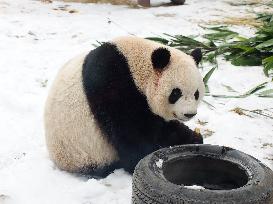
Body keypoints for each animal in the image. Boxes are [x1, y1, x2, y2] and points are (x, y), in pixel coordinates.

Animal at [45, 35, 204, 178]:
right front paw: (143, 157)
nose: (189, 114)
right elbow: (129, 132)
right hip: (81, 153)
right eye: (176, 93)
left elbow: (162, 127)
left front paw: (193, 138)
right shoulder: (112, 85)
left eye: (196, 93)